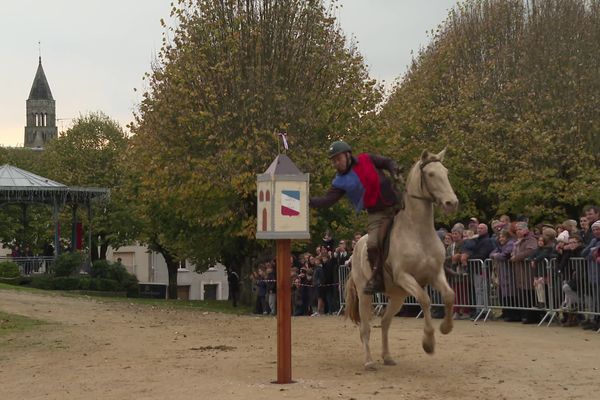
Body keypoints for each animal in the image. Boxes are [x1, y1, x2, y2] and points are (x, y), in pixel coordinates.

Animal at [344, 148, 458, 370]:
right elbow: (425, 299)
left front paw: (446, 327)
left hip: (398, 296)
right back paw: (369, 361)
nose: (452, 203)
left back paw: (387, 357)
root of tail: (357, 246)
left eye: (447, 172)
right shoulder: (404, 276)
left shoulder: (435, 274)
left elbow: (449, 295)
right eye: (430, 174)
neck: (418, 232)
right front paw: (428, 342)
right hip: (365, 294)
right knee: (365, 328)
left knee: (385, 323)